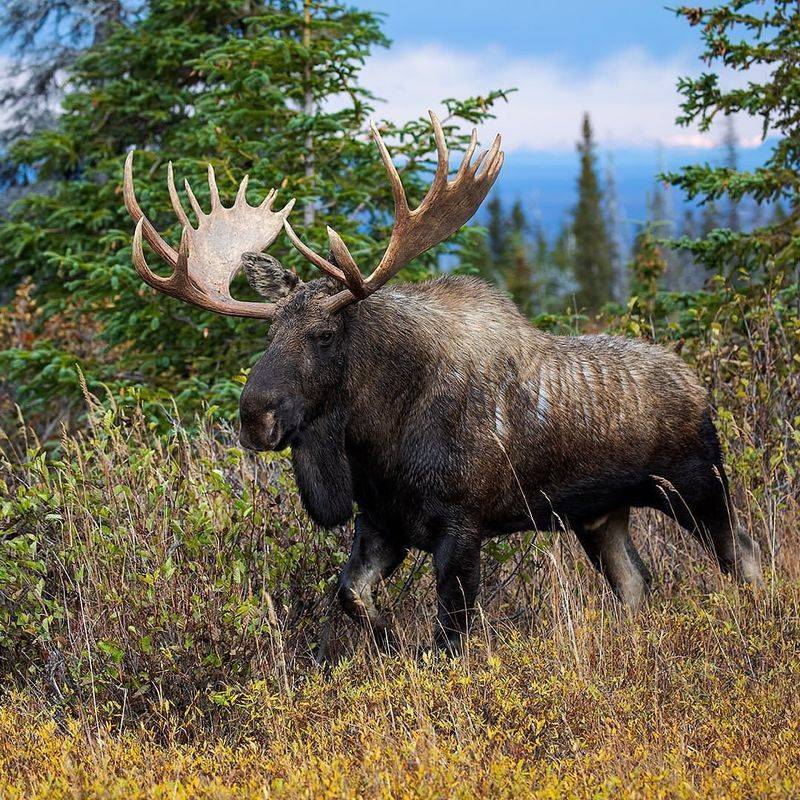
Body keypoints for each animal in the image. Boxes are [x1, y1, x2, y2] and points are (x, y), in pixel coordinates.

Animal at [123, 109, 764, 652]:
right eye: (270, 332)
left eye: (323, 336)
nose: (255, 416)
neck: (376, 438)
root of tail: (700, 389)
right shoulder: (382, 523)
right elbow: (352, 595)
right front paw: (389, 643)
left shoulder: (461, 526)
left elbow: (450, 638)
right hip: (601, 515)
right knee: (637, 584)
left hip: (697, 485)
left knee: (746, 555)